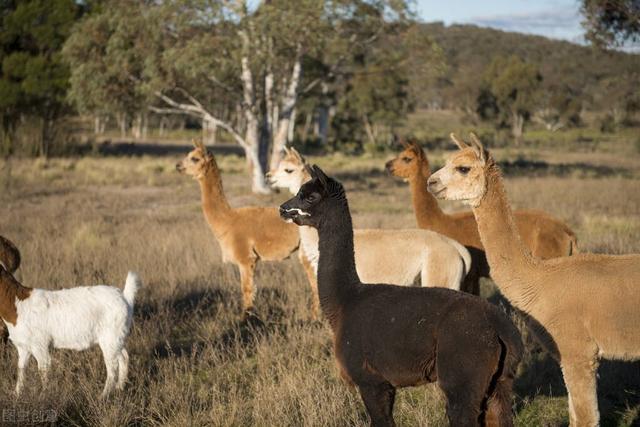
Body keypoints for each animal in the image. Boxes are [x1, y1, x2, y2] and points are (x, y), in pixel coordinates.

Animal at [0, 270, 141, 400]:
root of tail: (124, 297)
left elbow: (43, 370)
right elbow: (21, 369)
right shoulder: (23, 348)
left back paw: (103, 396)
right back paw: (119, 388)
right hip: (116, 339)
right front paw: (17, 394)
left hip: (110, 338)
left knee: (112, 368)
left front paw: (44, 396)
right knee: (124, 357)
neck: (16, 304)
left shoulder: (39, 346)